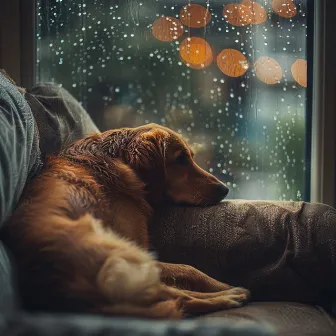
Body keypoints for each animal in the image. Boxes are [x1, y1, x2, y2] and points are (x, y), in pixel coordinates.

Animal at [2, 124, 249, 318]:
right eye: (180, 159)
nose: (224, 189)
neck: (114, 159)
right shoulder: (138, 248)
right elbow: (188, 269)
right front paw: (223, 286)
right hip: (121, 257)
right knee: (181, 296)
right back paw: (230, 294)